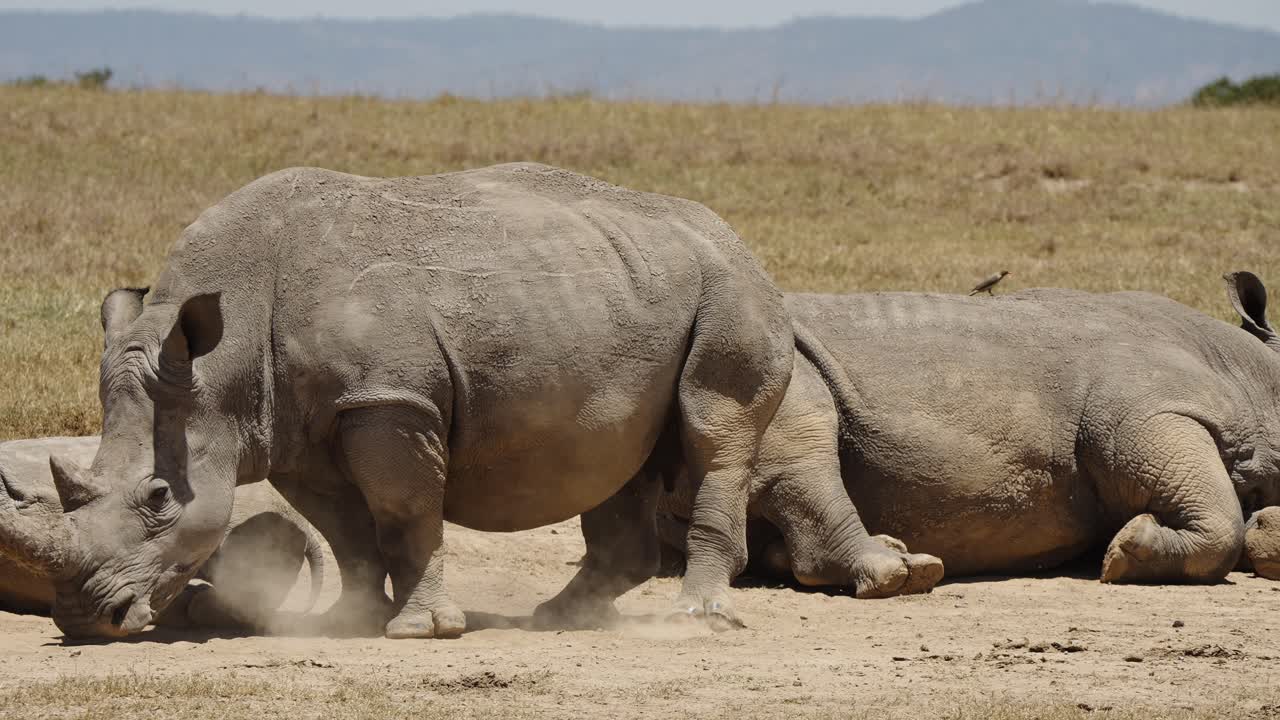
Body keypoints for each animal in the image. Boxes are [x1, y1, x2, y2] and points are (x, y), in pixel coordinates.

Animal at [658, 273, 1280, 587]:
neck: (1257, 371)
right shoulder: (1147, 413)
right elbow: (1220, 523)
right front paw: (1127, 552)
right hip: (746, 358)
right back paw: (904, 572)